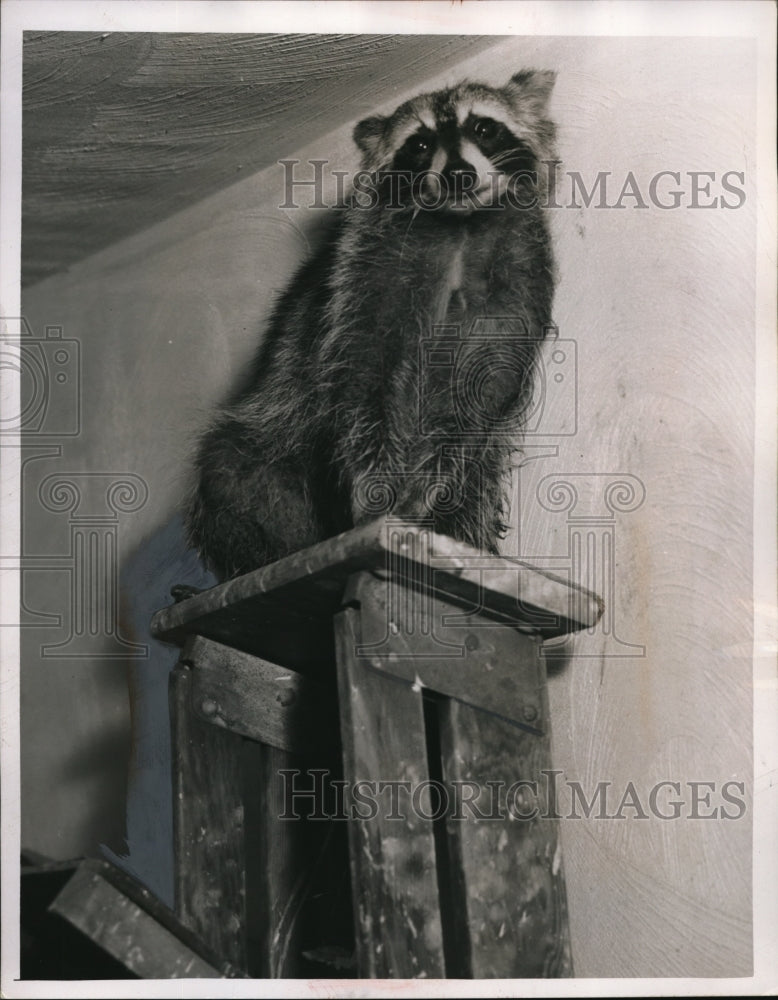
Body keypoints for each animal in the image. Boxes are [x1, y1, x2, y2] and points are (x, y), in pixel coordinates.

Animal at [187, 70, 557, 580]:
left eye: (484, 128)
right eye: (419, 144)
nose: (458, 174)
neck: (461, 226)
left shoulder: (522, 279)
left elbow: (483, 391)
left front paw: (429, 484)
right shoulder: (364, 273)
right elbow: (364, 377)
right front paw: (379, 490)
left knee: (478, 479)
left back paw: (465, 534)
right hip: (276, 431)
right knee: (234, 473)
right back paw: (263, 556)